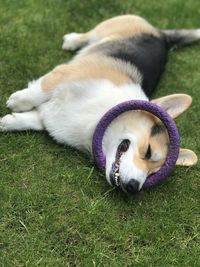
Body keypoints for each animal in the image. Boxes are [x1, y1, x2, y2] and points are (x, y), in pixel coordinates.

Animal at [0, 15, 198, 193]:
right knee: (89, 36)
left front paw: (7, 122)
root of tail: (162, 37)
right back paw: (72, 40)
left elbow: (33, 120)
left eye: (153, 173)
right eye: (148, 152)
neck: (98, 118)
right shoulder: (66, 74)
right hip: (107, 29)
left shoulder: (51, 117)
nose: (133, 188)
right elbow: (38, 92)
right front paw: (17, 101)